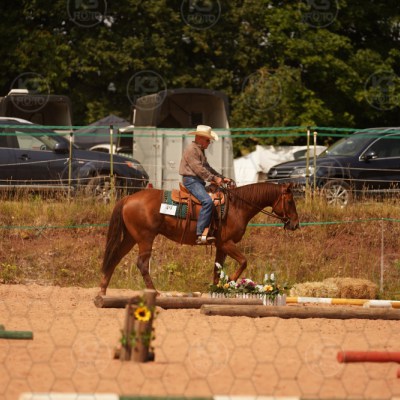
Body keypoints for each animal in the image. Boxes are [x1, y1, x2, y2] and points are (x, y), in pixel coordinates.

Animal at [99, 182, 300, 295]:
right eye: (290, 201)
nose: (295, 224)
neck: (237, 207)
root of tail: (127, 198)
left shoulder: (220, 247)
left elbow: (217, 270)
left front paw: (217, 290)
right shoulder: (226, 243)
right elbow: (243, 261)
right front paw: (231, 283)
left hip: (131, 238)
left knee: (115, 258)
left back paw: (102, 291)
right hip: (145, 238)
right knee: (141, 264)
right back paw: (154, 292)